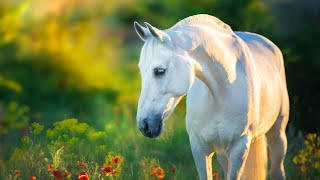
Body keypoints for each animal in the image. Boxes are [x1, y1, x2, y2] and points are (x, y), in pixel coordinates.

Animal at [134, 14, 288, 180]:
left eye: (159, 71)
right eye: (141, 70)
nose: (144, 125)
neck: (221, 94)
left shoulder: (239, 148)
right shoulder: (199, 148)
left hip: (277, 134)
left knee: (277, 169)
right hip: (223, 153)